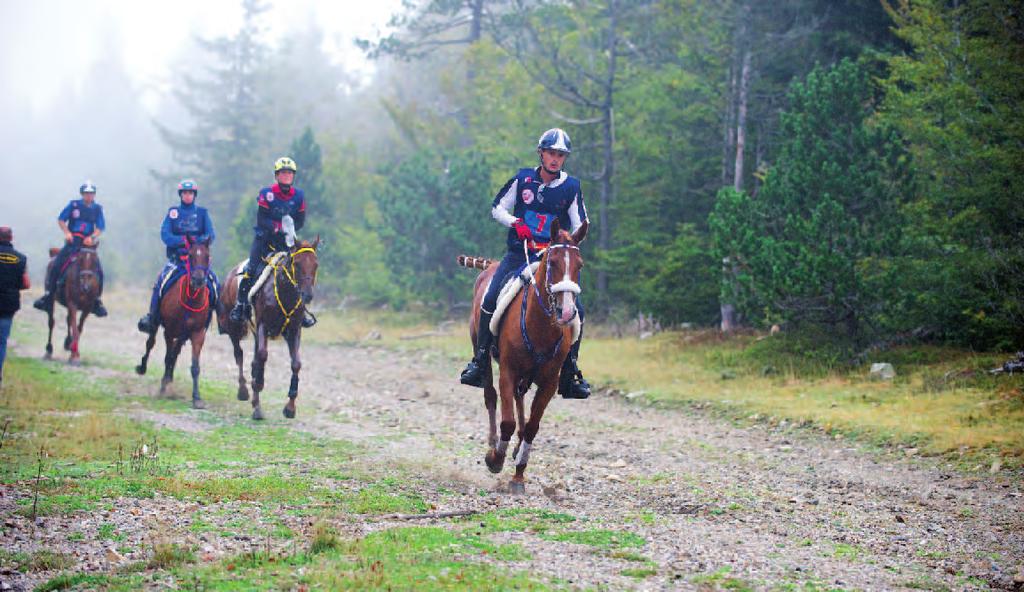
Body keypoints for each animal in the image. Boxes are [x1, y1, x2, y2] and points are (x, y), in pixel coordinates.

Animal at [135, 238, 212, 405]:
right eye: (190, 255)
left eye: (207, 256)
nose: (198, 280)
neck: (191, 300)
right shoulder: (169, 331)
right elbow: (168, 358)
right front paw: (163, 387)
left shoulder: (197, 334)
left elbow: (194, 366)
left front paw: (197, 398)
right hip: (157, 324)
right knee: (151, 343)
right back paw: (143, 368)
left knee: (175, 352)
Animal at [220, 236, 319, 419]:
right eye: (297, 264)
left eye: (316, 264)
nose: (307, 295)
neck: (285, 292)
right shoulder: (263, 326)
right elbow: (262, 356)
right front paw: (258, 397)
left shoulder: (294, 330)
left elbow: (296, 364)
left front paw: (290, 407)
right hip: (233, 328)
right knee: (239, 354)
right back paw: (244, 391)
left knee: (252, 361)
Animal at [460, 219, 589, 491]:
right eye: (552, 262)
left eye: (580, 265)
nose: (567, 312)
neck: (540, 326)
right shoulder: (508, 372)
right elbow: (507, 420)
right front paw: (495, 459)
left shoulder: (549, 383)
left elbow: (532, 426)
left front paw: (519, 473)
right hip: (483, 354)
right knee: (491, 396)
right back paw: (493, 443)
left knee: (520, 401)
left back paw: (517, 446)